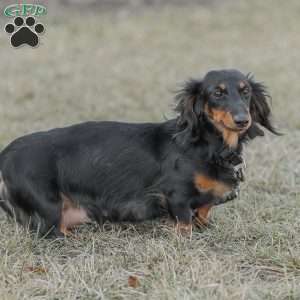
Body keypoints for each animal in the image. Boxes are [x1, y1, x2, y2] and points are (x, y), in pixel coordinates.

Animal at [0, 69, 278, 236]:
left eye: (245, 91)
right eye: (217, 93)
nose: (243, 120)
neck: (207, 146)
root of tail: (6, 153)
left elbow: (204, 210)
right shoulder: (175, 195)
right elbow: (185, 223)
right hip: (49, 207)